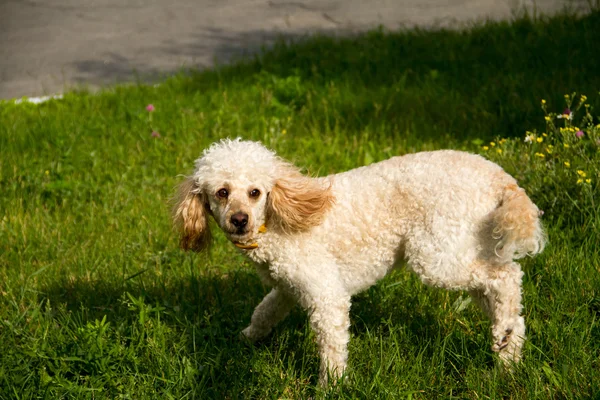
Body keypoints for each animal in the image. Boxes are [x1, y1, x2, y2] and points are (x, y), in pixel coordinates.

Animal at [171, 138, 548, 384]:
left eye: (254, 193)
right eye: (222, 193)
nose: (239, 220)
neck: (280, 215)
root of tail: (497, 174)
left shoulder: (325, 295)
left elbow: (331, 344)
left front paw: (331, 385)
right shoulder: (290, 286)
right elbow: (265, 310)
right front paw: (248, 337)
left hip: (436, 257)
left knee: (507, 276)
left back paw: (505, 336)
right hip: (469, 245)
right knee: (502, 295)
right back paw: (508, 352)